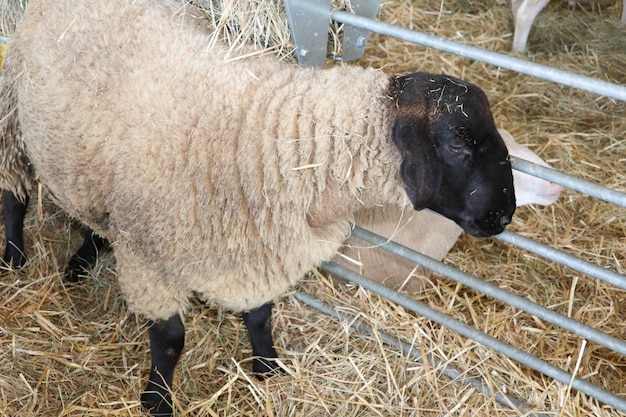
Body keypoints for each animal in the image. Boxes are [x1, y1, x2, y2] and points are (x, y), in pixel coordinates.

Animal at [0, 0, 516, 412]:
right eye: (458, 146)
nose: (504, 216)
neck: (276, 137)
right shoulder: (152, 262)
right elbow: (169, 341)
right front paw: (158, 400)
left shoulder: (260, 249)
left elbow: (261, 316)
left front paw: (268, 368)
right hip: (13, 115)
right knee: (13, 195)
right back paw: (15, 256)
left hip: (95, 164)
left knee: (96, 215)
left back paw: (79, 262)